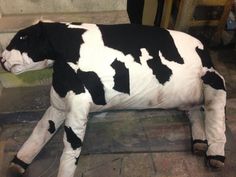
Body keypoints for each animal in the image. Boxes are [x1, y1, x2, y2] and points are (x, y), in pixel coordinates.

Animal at [0, 22, 227, 177]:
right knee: (195, 111)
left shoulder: (78, 104)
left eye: (22, 38)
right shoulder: (59, 102)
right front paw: (19, 161)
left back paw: (215, 154)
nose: (1, 59)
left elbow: (71, 146)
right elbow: (40, 130)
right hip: (187, 96)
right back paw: (199, 142)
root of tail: (203, 46)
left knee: (215, 111)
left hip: (214, 80)